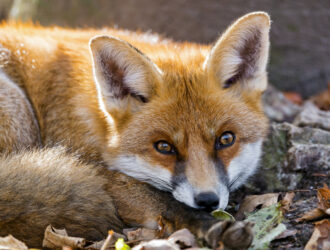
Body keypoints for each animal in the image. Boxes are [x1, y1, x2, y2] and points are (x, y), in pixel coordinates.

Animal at [0, 11, 270, 248]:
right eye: (164, 147)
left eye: (226, 139)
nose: (207, 200)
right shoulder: (97, 170)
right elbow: (164, 201)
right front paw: (215, 228)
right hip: (20, 113)